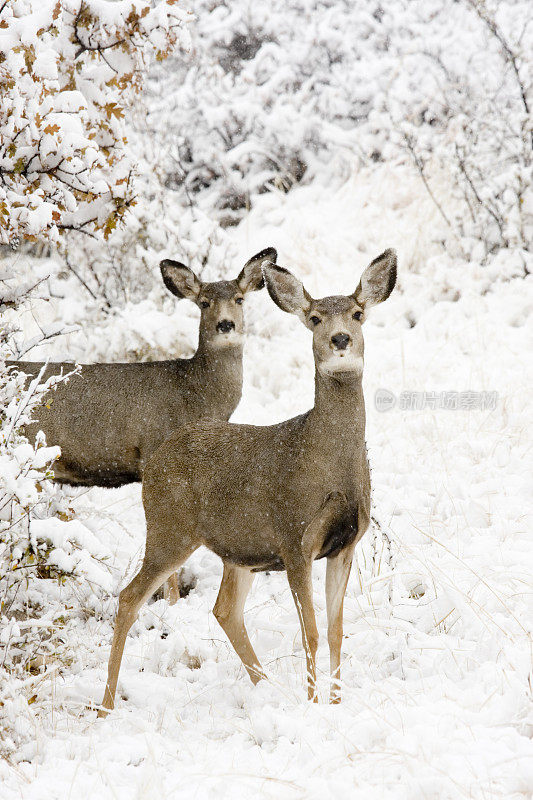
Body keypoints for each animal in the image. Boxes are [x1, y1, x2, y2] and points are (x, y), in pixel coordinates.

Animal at [100, 245, 396, 712]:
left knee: (225, 609)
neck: (329, 461)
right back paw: (108, 704)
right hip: (170, 527)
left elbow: (336, 631)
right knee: (130, 598)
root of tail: (157, 460)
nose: (340, 340)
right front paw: (313, 705)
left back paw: (267, 689)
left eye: (357, 313)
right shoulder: (294, 537)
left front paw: (334, 704)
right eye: (315, 318)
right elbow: (311, 632)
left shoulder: (345, 544)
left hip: (238, 550)